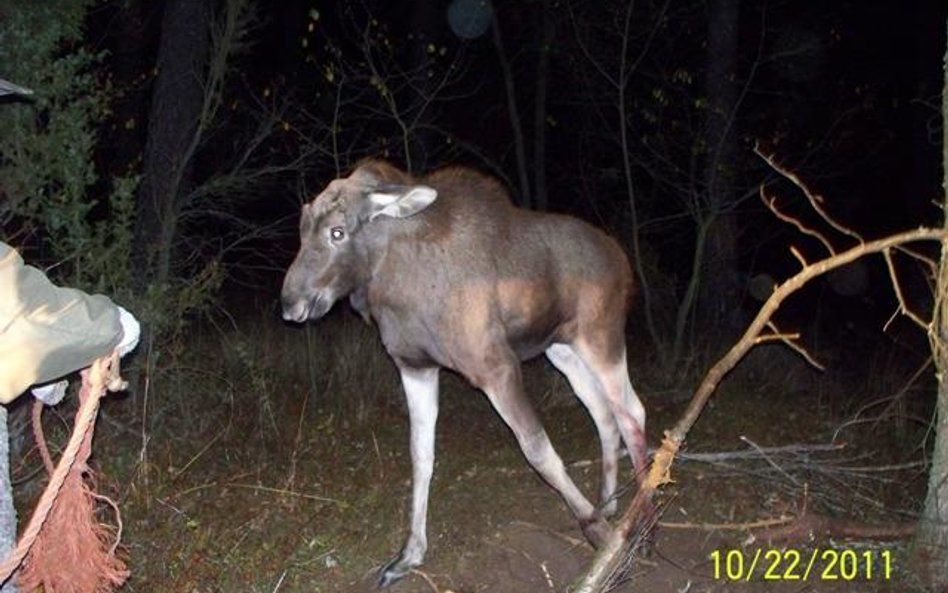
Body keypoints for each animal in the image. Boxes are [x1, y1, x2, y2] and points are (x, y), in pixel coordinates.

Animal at [282, 160, 648, 584]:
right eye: (302, 226)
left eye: (337, 231)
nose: (290, 303)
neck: (392, 285)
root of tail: (623, 259)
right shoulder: (415, 366)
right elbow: (420, 455)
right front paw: (409, 554)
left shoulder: (496, 366)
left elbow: (539, 451)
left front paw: (596, 531)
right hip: (562, 349)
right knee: (604, 413)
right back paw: (609, 503)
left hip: (601, 335)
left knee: (631, 411)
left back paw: (642, 517)